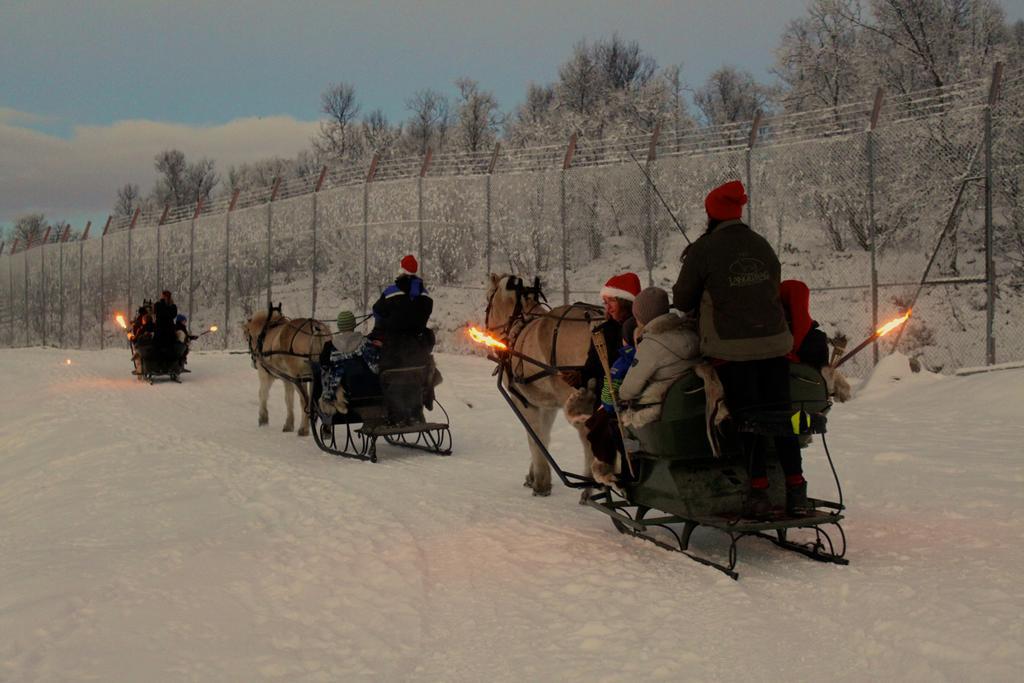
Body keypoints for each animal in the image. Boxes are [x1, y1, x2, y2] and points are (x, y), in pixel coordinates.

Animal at [243, 305, 331, 436]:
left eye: (247, 337)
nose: (253, 362)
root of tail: (317, 329)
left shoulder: (266, 374)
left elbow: (263, 394)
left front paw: (263, 419)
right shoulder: (289, 379)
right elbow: (289, 399)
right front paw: (289, 424)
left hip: (298, 377)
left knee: (305, 400)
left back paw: (303, 429)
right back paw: (326, 429)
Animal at [483, 274, 602, 501]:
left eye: (488, 300)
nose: (487, 330)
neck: (518, 326)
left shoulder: (524, 402)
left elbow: (534, 437)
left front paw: (540, 483)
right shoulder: (548, 405)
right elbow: (543, 438)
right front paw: (535, 476)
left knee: (588, 437)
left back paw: (590, 487)